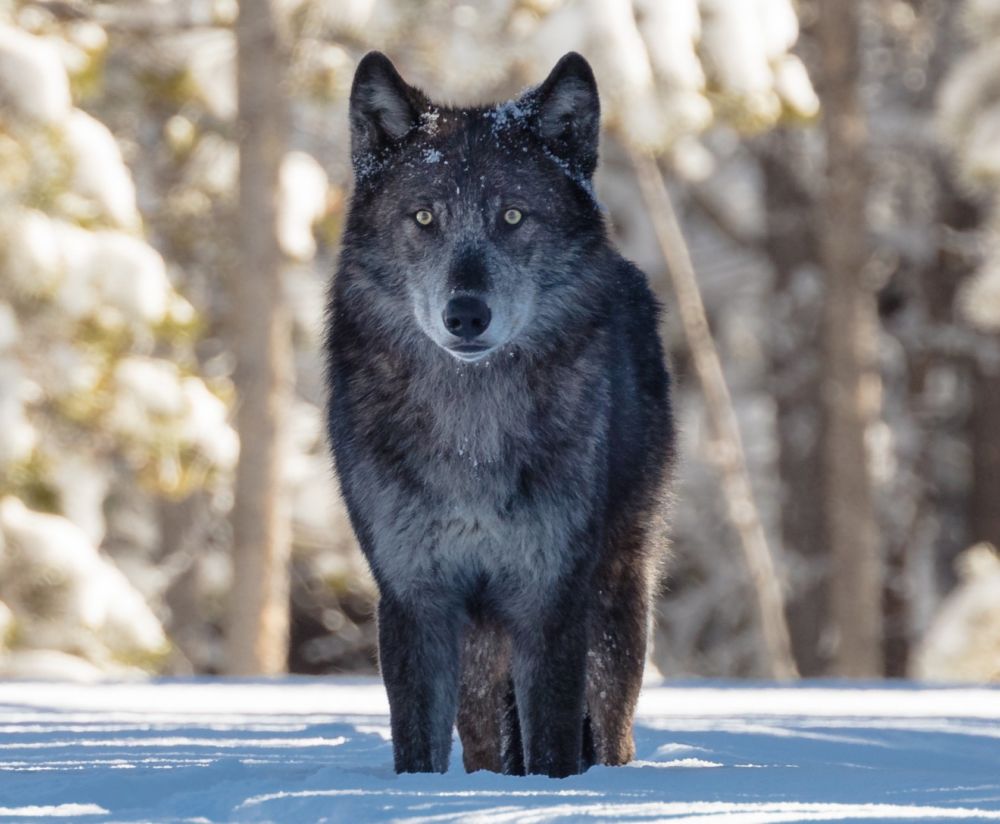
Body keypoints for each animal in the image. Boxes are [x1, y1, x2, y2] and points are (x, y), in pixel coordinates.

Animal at [325, 50, 674, 778]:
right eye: (424, 218)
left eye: (513, 217)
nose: (466, 314)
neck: (472, 434)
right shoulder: (416, 597)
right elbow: (417, 749)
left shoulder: (551, 597)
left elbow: (553, 745)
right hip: (483, 654)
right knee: (487, 740)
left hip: (615, 606)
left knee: (613, 730)